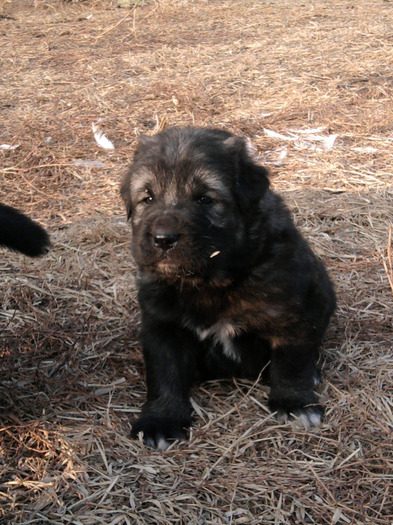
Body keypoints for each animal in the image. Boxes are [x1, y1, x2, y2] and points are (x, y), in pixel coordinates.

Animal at [121, 125, 336, 448]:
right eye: (147, 198)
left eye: (204, 199)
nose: (163, 239)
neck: (209, 282)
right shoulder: (161, 324)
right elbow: (164, 373)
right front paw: (160, 419)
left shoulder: (293, 314)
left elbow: (291, 362)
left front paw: (295, 402)